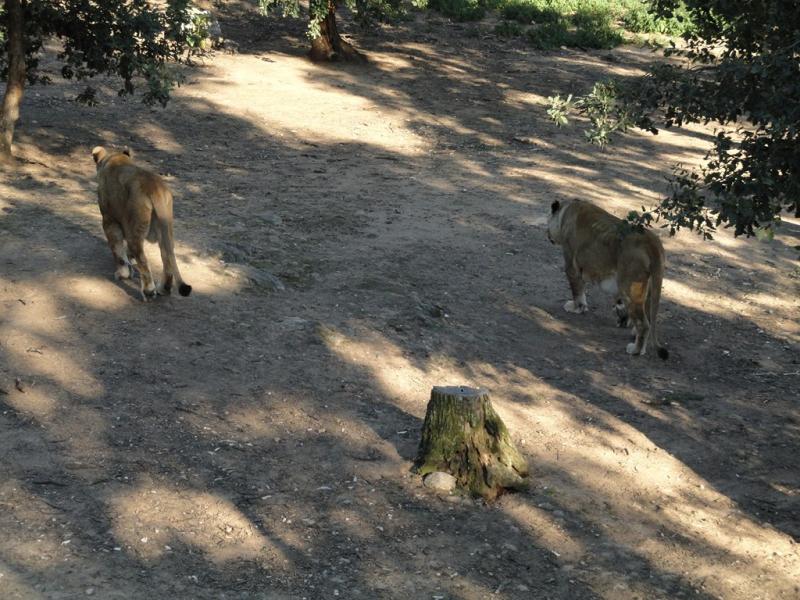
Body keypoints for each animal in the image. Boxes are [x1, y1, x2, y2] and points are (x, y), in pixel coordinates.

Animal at [92, 146, 192, 301]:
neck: (117, 159)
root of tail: (154, 188)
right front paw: (129, 263)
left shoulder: (109, 220)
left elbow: (117, 250)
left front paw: (123, 274)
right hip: (165, 226)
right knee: (167, 257)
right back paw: (164, 289)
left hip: (135, 229)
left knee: (144, 261)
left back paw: (149, 292)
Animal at [547, 199, 668, 359]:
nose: (547, 234)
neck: (565, 212)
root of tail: (652, 241)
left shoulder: (571, 264)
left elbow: (577, 290)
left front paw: (575, 308)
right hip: (648, 287)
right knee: (647, 315)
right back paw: (634, 336)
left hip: (630, 287)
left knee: (644, 324)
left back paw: (635, 350)